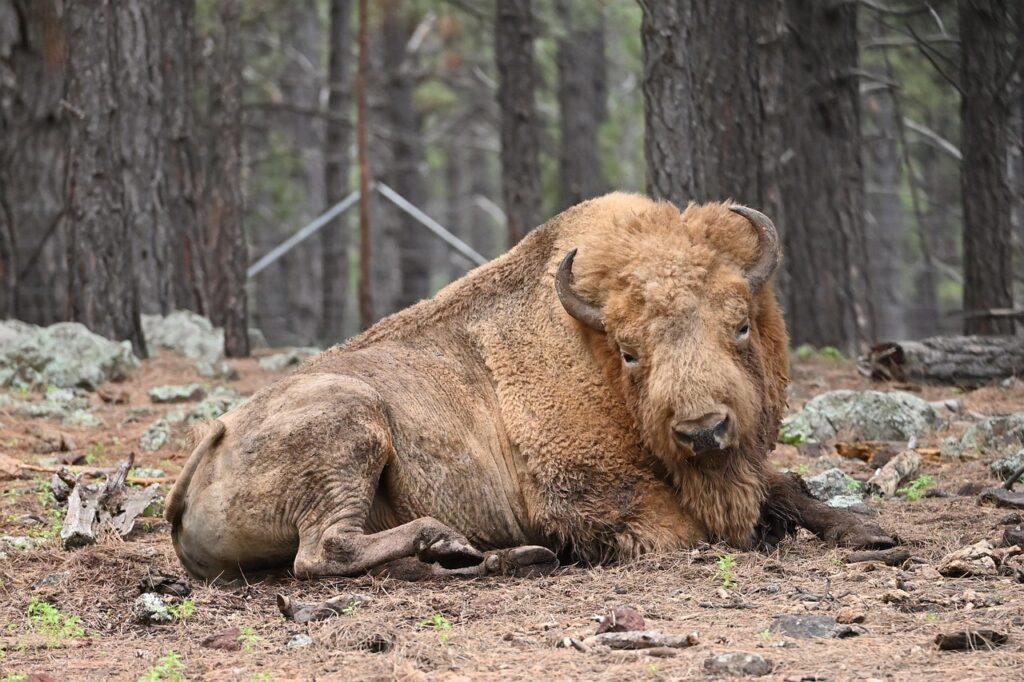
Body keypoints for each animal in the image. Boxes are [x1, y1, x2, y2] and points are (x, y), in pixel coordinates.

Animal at [166, 193, 895, 581]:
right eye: (630, 351)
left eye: (739, 324)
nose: (703, 430)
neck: (590, 350)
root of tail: (213, 441)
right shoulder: (597, 497)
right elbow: (692, 530)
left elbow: (789, 487)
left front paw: (871, 533)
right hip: (351, 423)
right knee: (323, 552)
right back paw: (454, 542)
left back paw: (486, 554)